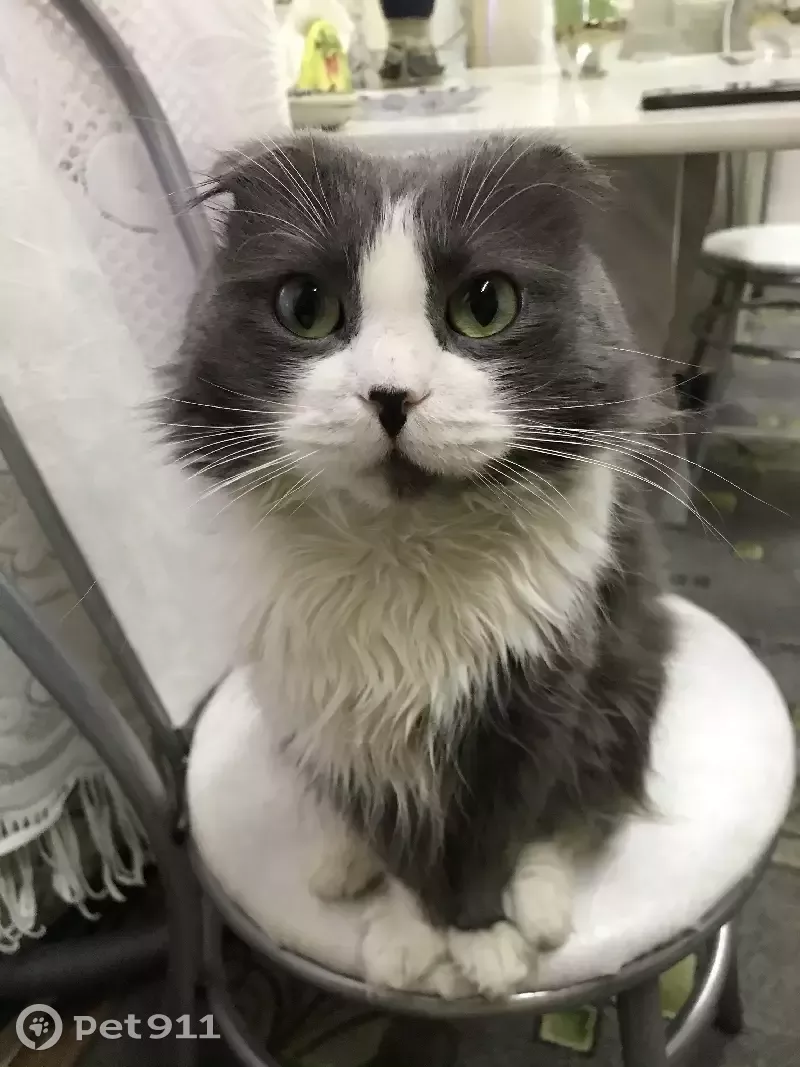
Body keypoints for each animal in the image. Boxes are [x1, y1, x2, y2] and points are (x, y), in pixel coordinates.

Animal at [167, 134, 672, 998]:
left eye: (485, 306)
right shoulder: (340, 716)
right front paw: (410, 936)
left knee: (577, 813)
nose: (391, 395)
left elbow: (496, 833)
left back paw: (539, 912)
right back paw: (341, 868)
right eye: (306, 308)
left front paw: (481, 940)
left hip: (620, 692)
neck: (401, 553)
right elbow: (398, 844)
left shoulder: (530, 698)